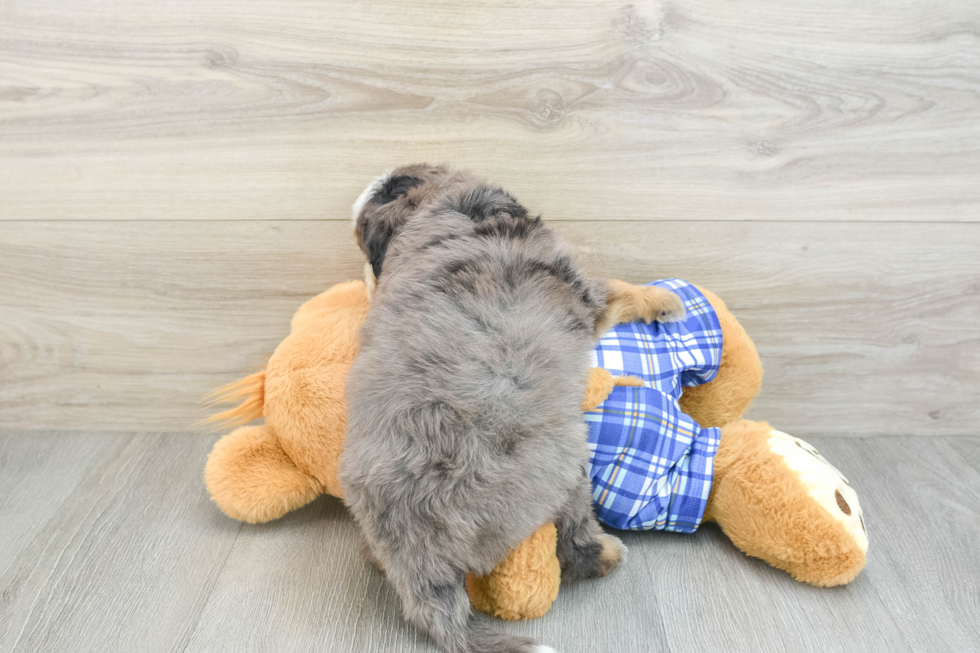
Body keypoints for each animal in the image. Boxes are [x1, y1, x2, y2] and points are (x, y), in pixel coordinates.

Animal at [340, 164, 684, 652]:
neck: (447, 206)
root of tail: (417, 553)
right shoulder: (586, 293)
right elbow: (619, 289)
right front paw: (666, 300)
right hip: (569, 472)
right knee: (572, 539)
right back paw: (606, 553)